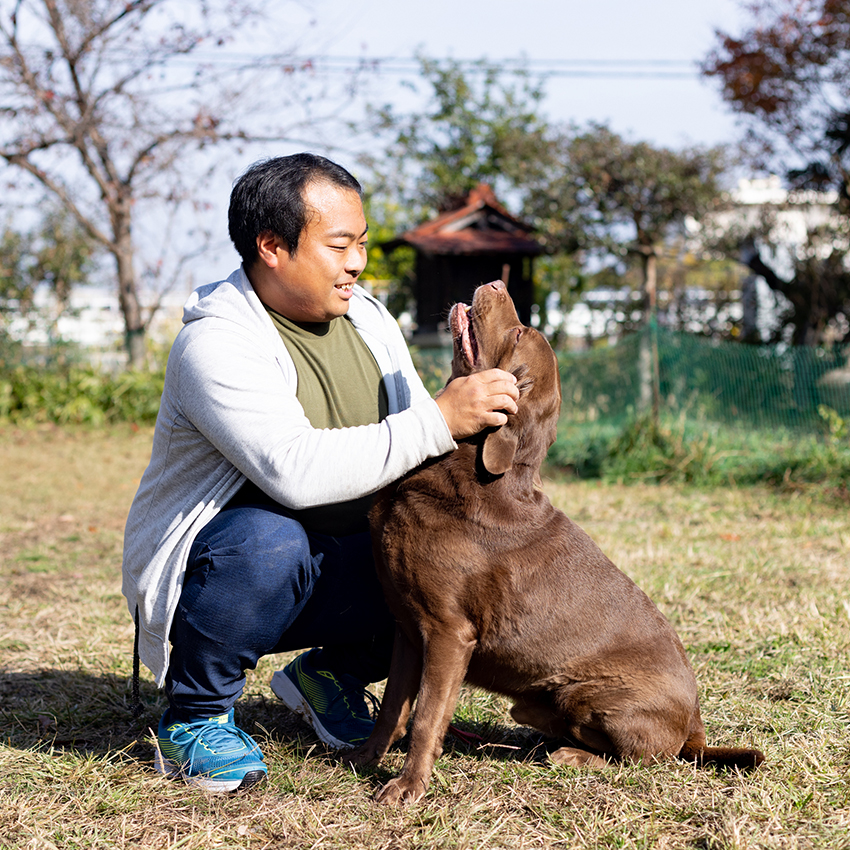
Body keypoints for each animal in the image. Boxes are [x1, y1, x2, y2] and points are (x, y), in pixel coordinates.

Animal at [348, 280, 764, 800]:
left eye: (518, 331)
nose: (498, 283)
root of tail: (696, 728)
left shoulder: (448, 632)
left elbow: (426, 715)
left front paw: (407, 788)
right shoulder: (407, 627)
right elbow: (392, 708)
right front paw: (363, 758)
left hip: (588, 693)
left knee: (640, 760)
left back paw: (572, 757)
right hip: (535, 699)